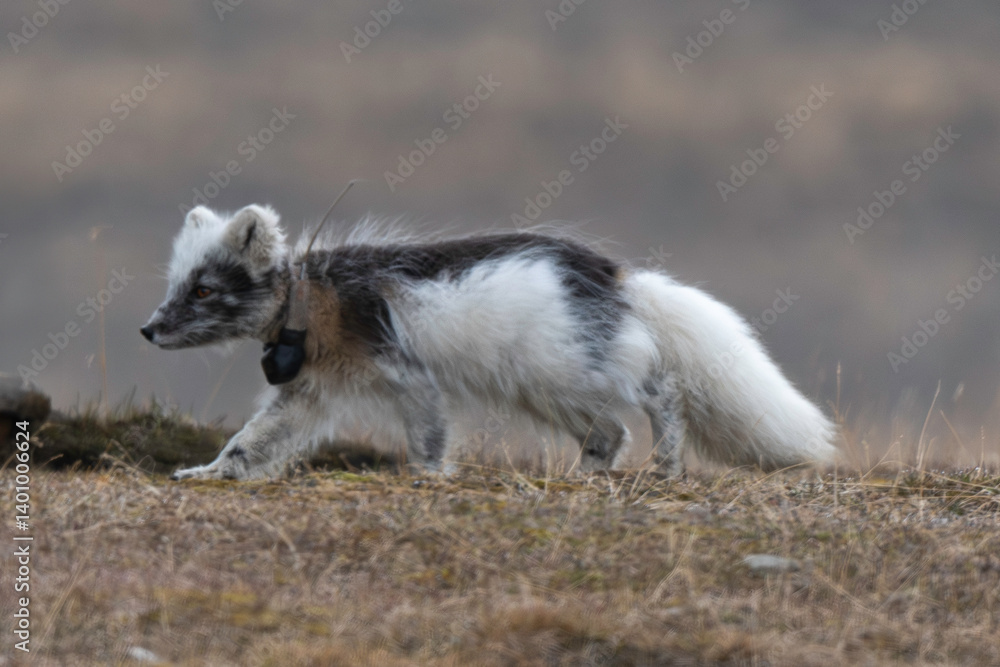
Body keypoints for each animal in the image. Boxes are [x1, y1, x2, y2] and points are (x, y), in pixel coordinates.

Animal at [141, 204, 836, 480]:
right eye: (177, 285)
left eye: (203, 289)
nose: (148, 329)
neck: (310, 297)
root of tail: (618, 276)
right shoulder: (308, 393)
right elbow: (250, 442)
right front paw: (207, 473)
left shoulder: (406, 374)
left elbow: (428, 434)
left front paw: (429, 477)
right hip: (548, 387)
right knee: (609, 432)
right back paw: (587, 478)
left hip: (577, 365)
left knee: (660, 391)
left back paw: (667, 464)